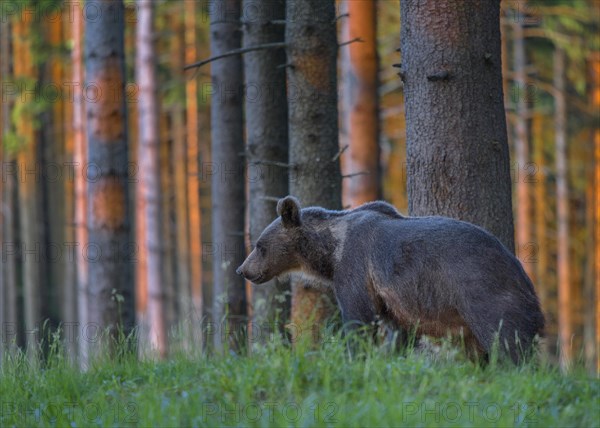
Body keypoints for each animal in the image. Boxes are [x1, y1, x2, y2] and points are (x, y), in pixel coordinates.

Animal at [237, 196, 548, 362]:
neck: (330, 252)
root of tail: (520, 270)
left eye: (259, 245)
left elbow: (358, 318)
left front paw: (355, 356)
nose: (243, 270)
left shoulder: (355, 267)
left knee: (506, 338)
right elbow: (399, 331)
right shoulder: (391, 299)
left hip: (483, 289)